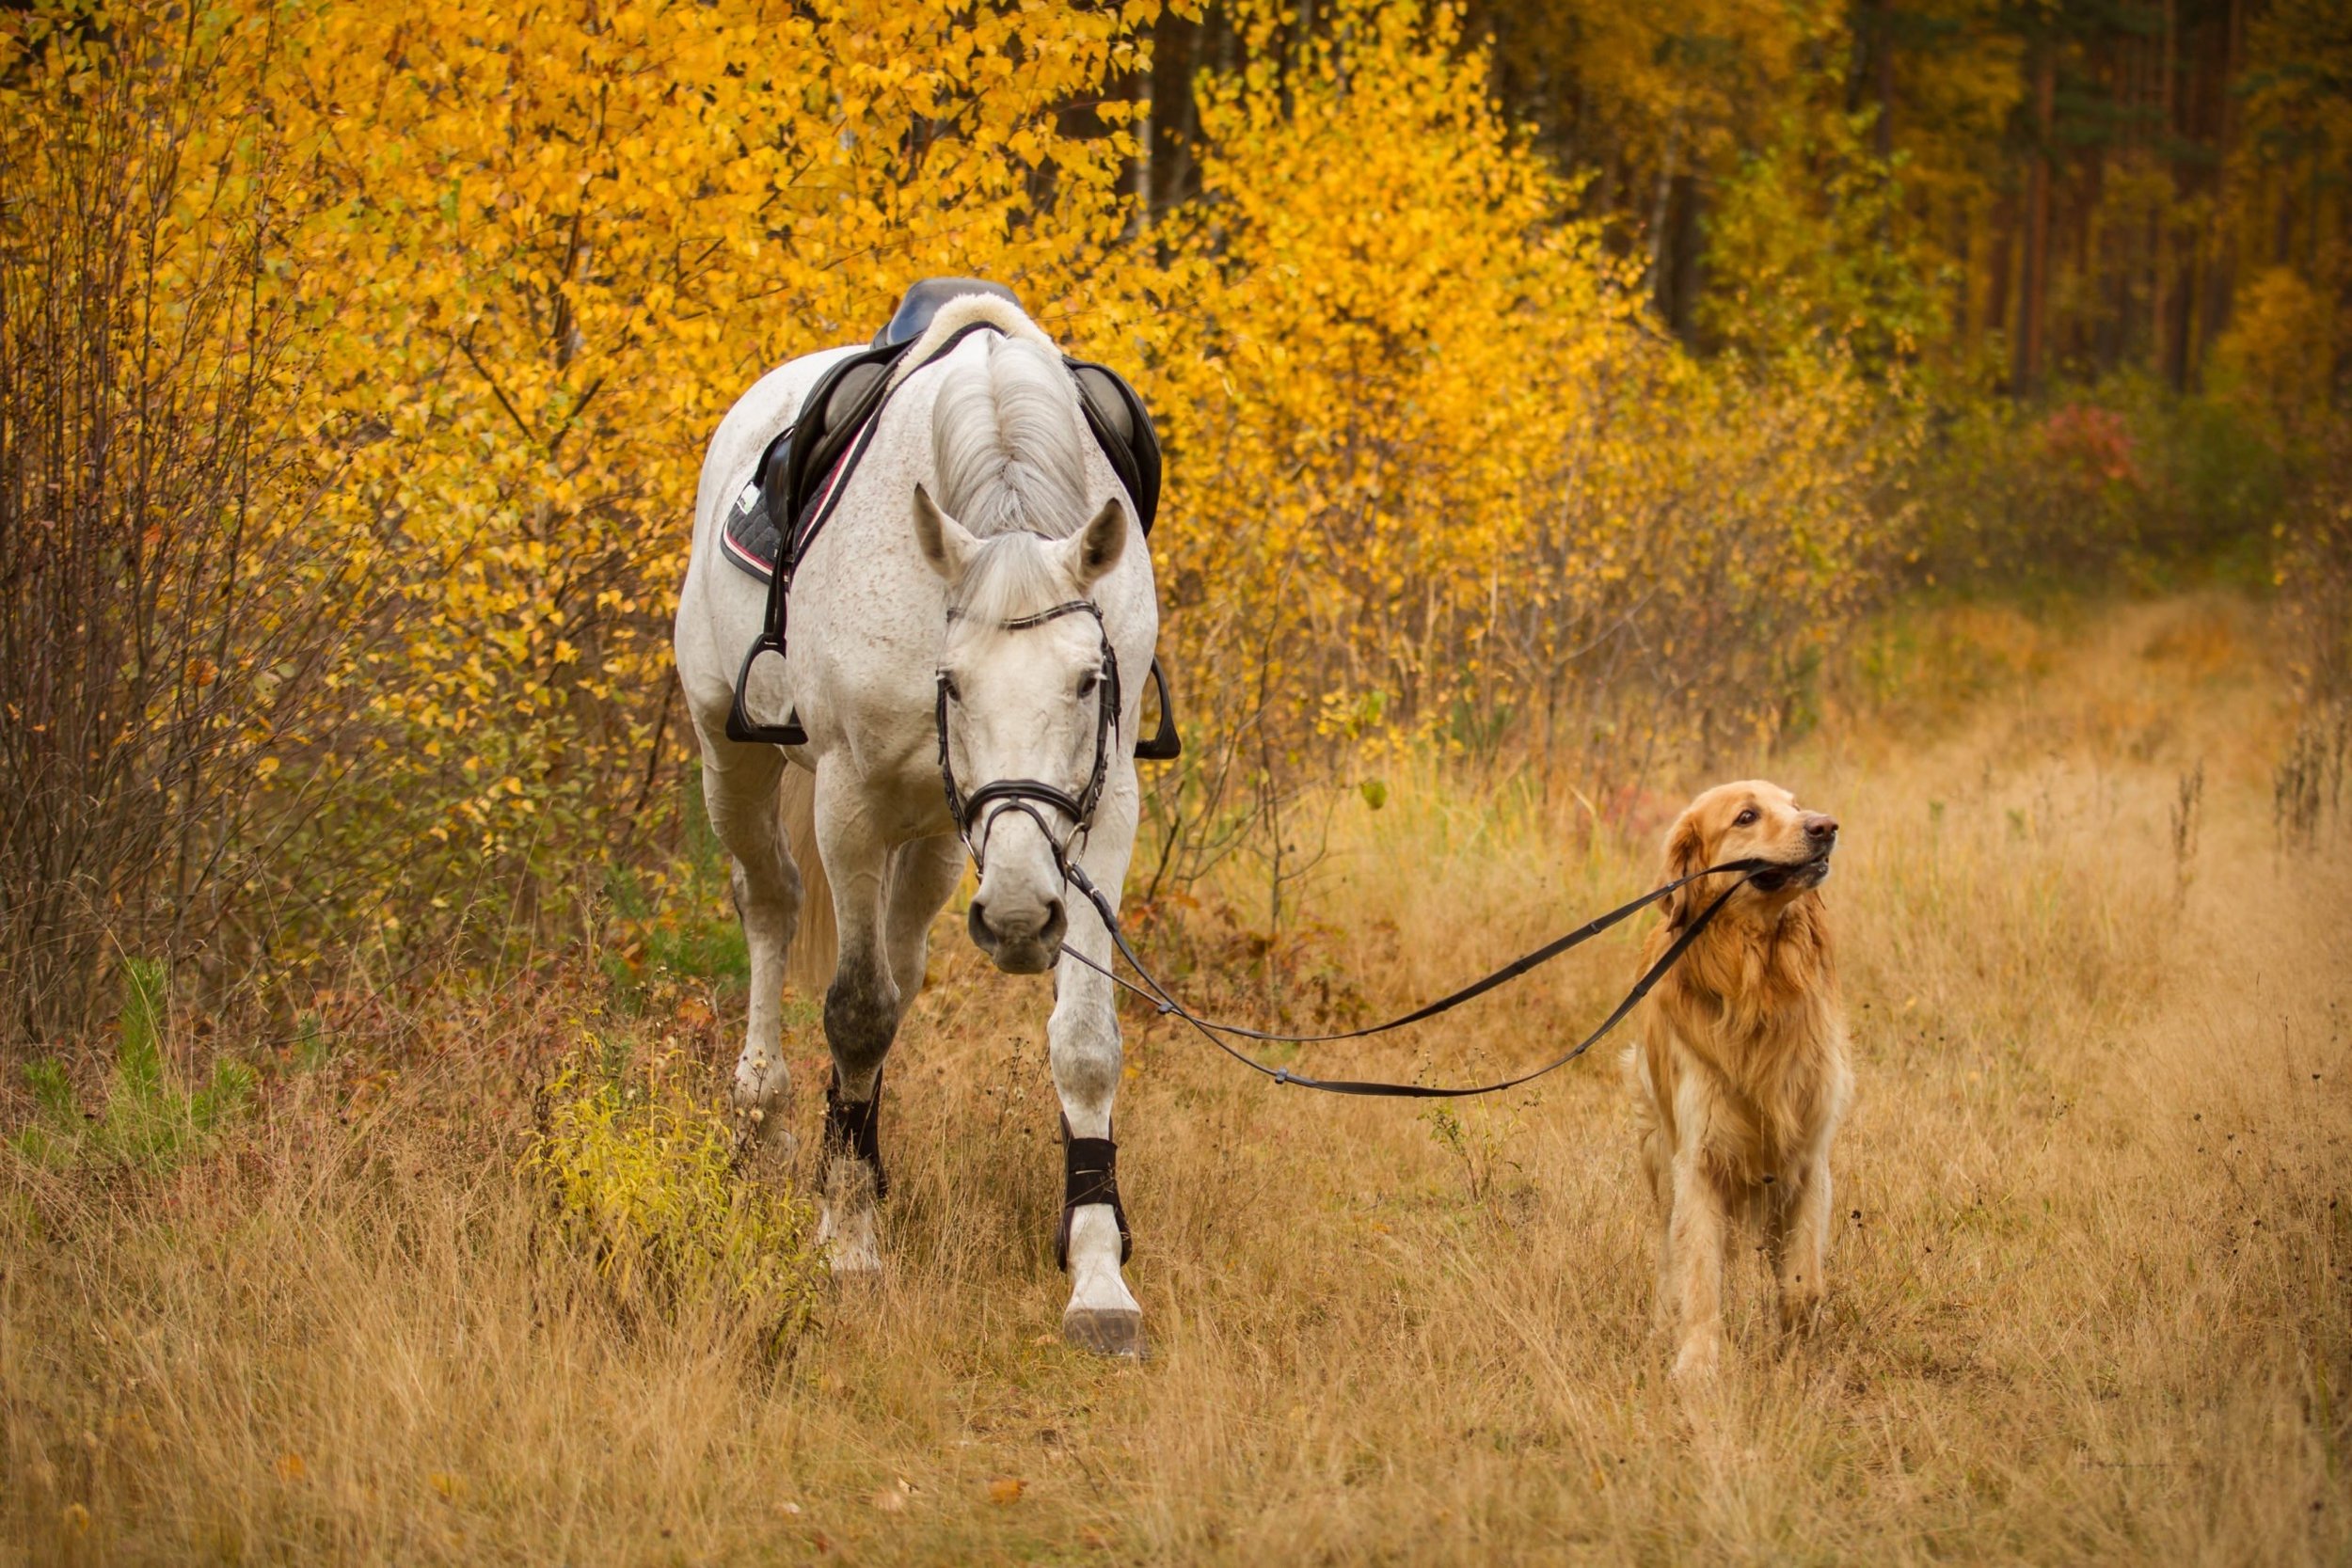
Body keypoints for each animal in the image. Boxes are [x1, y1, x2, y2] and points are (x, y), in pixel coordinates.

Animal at [671, 294, 1159, 1356]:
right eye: (952, 681)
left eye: (1088, 680)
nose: (1016, 919)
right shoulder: (848, 800)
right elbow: (854, 1010)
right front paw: (849, 1245)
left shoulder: (1101, 814)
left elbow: (1083, 1042)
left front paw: (1098, 1275)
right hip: (732, 754)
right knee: (770, 903)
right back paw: (762, 1118)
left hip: (938, 836)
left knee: (899, 960)